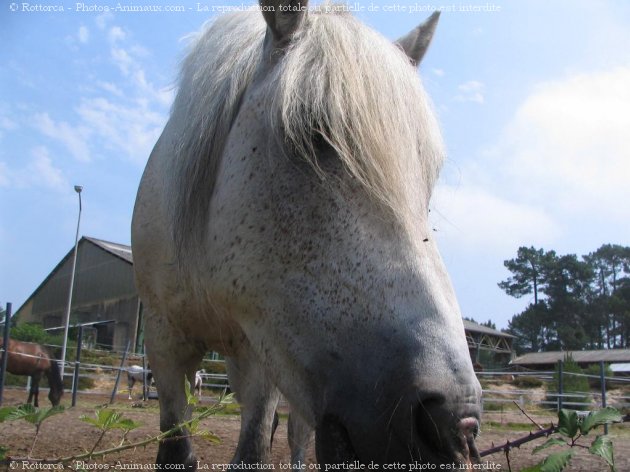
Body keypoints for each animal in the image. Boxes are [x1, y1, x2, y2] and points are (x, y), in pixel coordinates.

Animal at [131, 0, 482, 468]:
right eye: (312, 135)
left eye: (428, 174)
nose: (453, 422)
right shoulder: (163, 339)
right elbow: (176, 449)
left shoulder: (261, 352)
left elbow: (255, 449)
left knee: (297, 434)